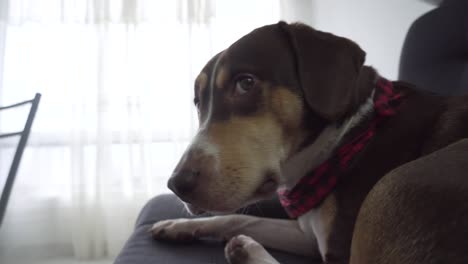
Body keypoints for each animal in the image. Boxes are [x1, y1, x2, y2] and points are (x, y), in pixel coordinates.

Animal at [150, 22, 468, 264]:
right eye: (197, 102)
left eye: (246, 82)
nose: (177, 185)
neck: (348, 138)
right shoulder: (309, 235)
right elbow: (237, 219)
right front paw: (178, 226)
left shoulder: (336, 250)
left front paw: (246, 247)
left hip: (392, 185)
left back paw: (248, 251)